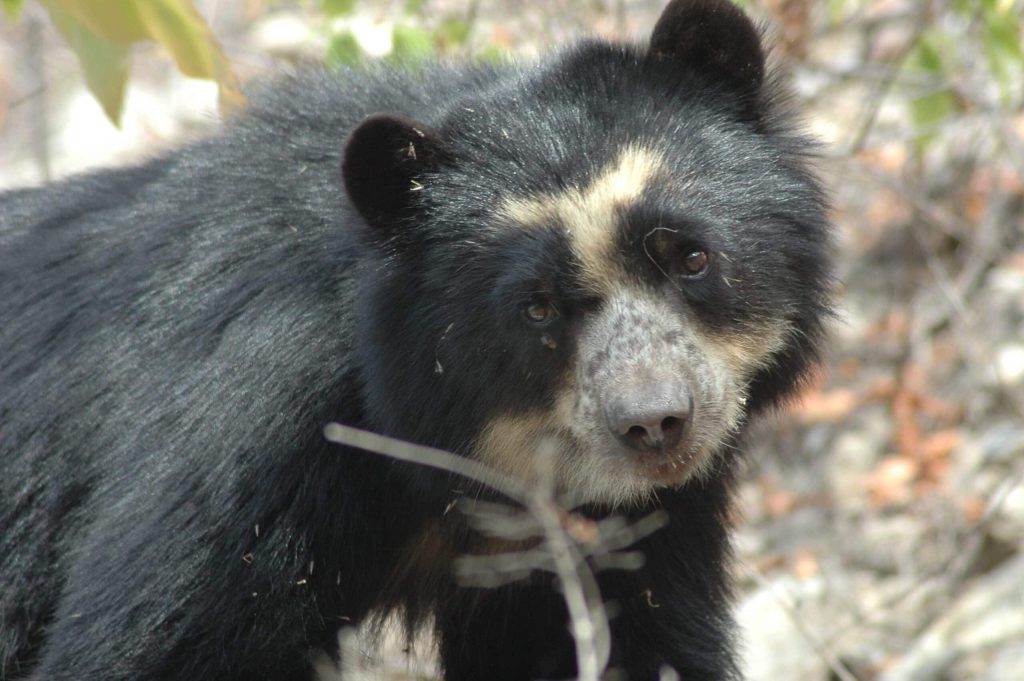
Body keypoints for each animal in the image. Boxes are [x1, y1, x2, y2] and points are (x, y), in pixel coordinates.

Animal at [0, 1, 832, 679]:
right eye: (536, 309)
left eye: (690, 257)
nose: (656, 423)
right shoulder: (250, 443)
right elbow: (149, 641)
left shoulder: (624, 527)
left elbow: (631, 638)